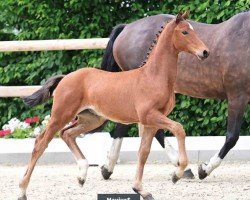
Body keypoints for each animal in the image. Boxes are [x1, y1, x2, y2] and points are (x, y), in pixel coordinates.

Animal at [21, 12, 209, 200]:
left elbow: (143, 152)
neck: (153, 76)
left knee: (67, 134)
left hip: (91, 119)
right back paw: (22, 190)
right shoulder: (149, 116)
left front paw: (141, 190)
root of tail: (65, 78)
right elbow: (178, 128)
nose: (205, 52)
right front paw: (177, 174)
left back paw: (82, 175)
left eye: (193, 30)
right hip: (60, 115)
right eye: (185, 32)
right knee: (40, 143)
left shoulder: (150, 122)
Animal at [98, 10, 249, 180]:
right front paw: (204, 169)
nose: (205, 52)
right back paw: (181, 166)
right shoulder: (237, 96)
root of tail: (126, 28)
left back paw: (108, 168)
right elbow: (232, 137)